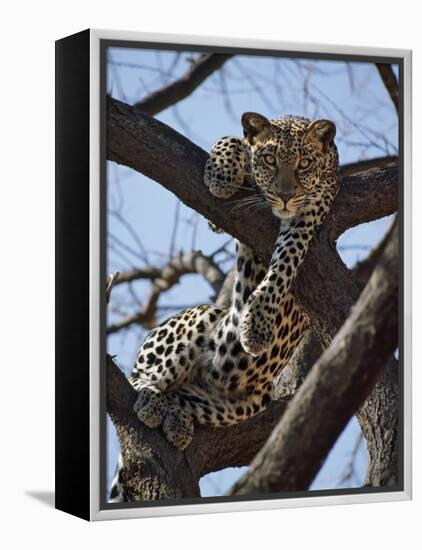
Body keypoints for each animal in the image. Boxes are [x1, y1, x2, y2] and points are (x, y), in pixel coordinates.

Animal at [109, 111, 340, 504]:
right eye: (269, 160)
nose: (284, 195)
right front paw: (221, 173)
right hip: (201, 317)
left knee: (184, 397)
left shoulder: (311, 211)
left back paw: (175, 418)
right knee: (140, 376)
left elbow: (285, 262)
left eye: (305, 164)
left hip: (246, 401)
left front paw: (257, 324)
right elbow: (231, 139)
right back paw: (151, 398)